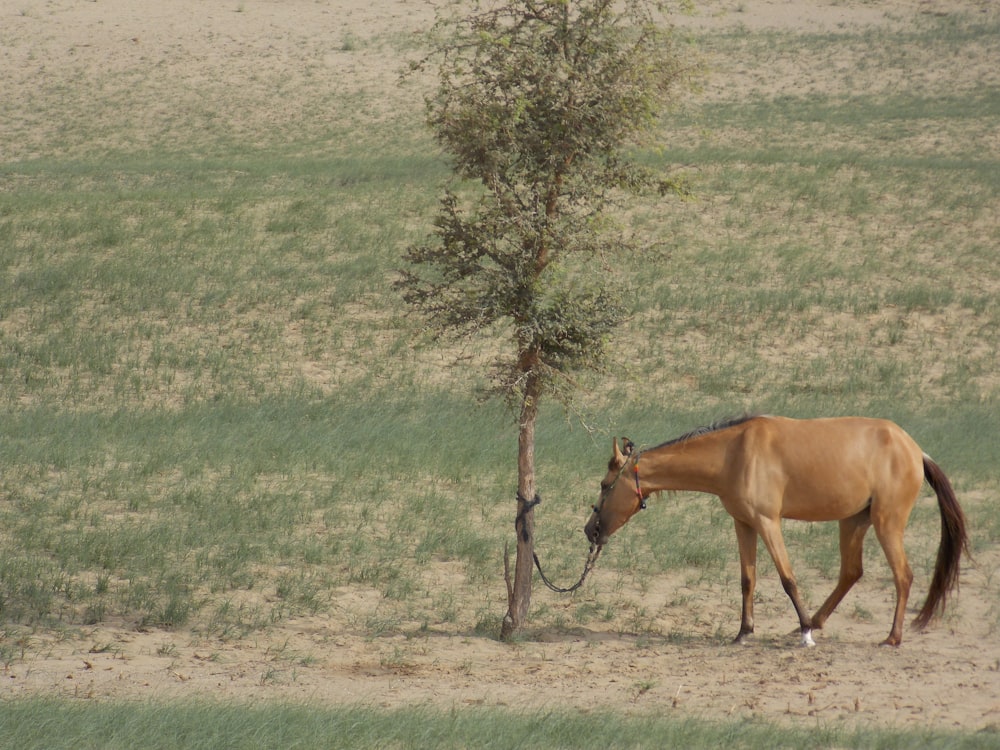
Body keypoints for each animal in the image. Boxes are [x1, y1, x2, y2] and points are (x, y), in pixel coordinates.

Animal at [584, 418, 968, 648]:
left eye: (604, 485)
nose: (590, 530)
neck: (734, 453)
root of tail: (915, 450)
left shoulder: (769, 522)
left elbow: (787, 578)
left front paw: (806, 635)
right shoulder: (744, 524)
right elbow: (747, 580)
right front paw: (744, 632)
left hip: (887, 523)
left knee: (903, 575)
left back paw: (890, 637)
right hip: (853, 521)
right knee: (851, 573)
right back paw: (815, 622)